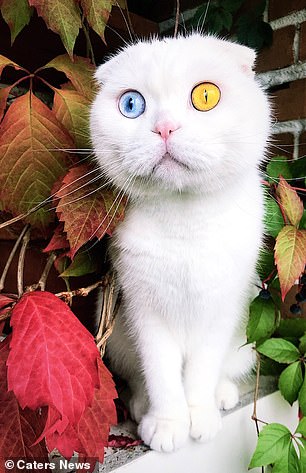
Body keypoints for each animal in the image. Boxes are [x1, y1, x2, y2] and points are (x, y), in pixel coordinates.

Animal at [90, 33, 270, 450]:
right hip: (118, 339)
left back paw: (222, 395)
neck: (186, 224)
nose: (165, 128)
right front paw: (168, 424)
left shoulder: (221, 307)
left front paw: (200, 417)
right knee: (138, 379)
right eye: (131, 104)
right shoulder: (144, 308)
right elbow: (161, 373)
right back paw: (142, 407)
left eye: (206, 96)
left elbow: (201, 370)